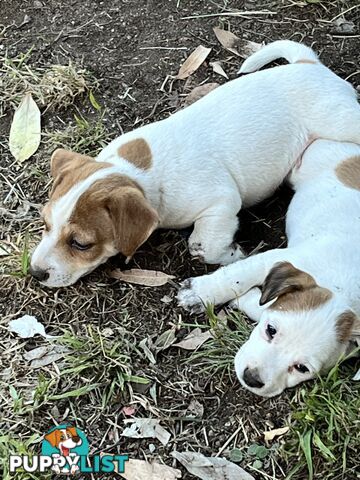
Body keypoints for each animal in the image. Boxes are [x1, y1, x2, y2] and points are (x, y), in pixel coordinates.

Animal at [31, 41, 360, 286]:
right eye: (45, 224)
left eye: (80, 244)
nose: (34, 273)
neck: (140, 173)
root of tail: (308, 65)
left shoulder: (222, 202)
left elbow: (203, 246)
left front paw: (232, 255)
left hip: (341, 122)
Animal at [179, 140, 360, 398]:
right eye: (271, 331)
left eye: (301, 368)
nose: (251, 379)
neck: (342, 288)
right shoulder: (275, 259)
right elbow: (234, 278)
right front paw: (197, 294)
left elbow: (262, 303)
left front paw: (244, 299)